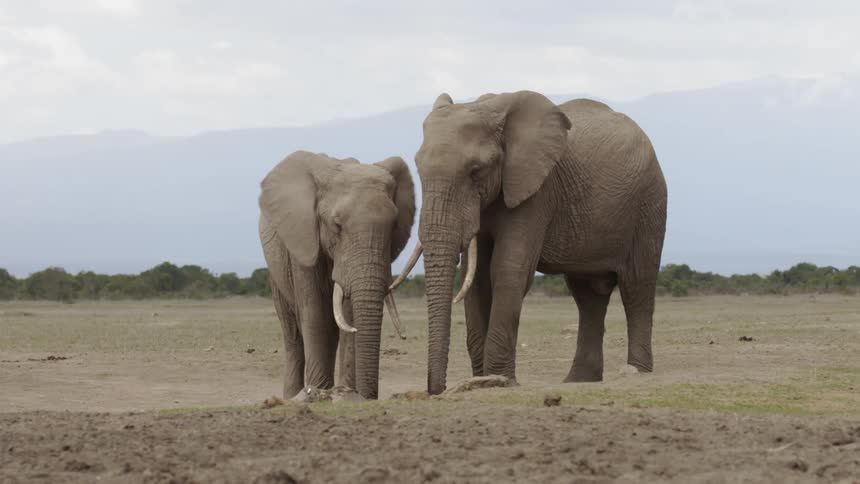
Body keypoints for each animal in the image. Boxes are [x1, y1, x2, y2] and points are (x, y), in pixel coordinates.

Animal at [259, 150, 415, 399]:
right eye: (337, 225)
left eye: (393, 226)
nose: (370, 396)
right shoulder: (303, 238)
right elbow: (314, 312)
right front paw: (316, 394)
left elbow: (348, 312)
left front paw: (346, 395)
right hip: (276, 269)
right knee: (292, 334)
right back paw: (292, 396)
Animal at [391, 91, 667, 395]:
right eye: (419, 170)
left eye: (475, 171)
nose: (436, 390)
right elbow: (476, 278)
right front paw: (481, 381)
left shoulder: (536, 190)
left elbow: (508, 270)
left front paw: (498, 381)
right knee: (588, 296)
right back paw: (579, 379)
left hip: (649, 202)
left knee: (636, 285)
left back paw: (637, 371)